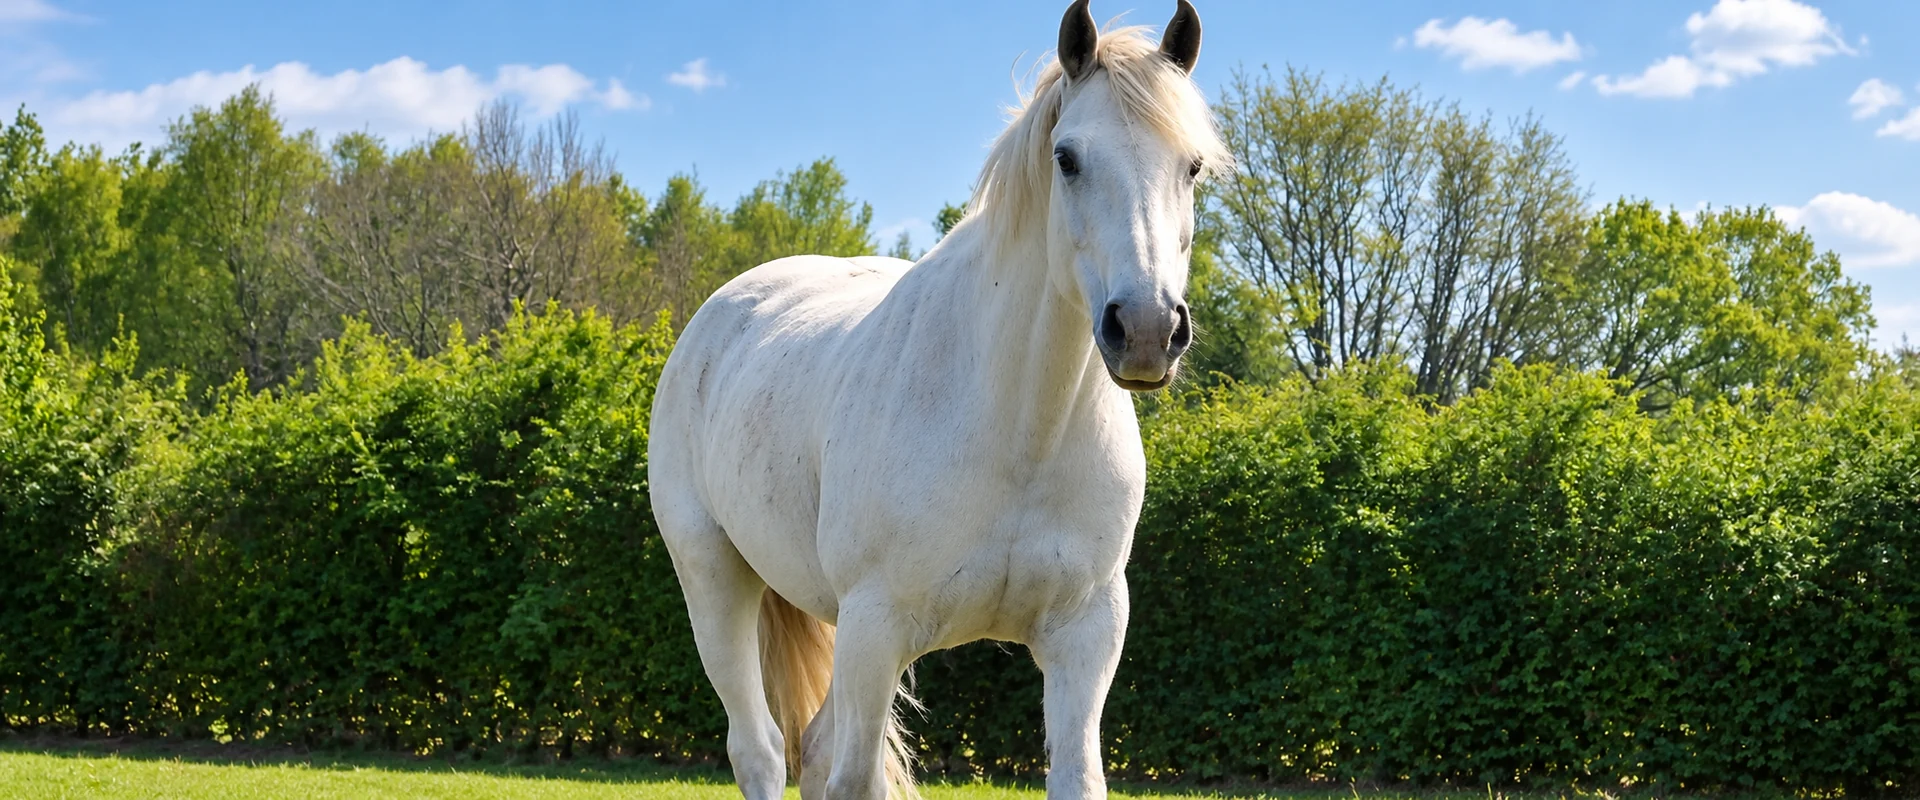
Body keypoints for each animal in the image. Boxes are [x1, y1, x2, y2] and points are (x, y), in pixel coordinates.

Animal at [646, 2, 1228, 797]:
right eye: (1067, 158)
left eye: (1191, 166)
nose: (1145, 330)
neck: (1016, 431)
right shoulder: (874, 629)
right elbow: (851, 778)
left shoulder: (1086, 634)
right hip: (715, 579)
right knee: (760, 749)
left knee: (812, 746)